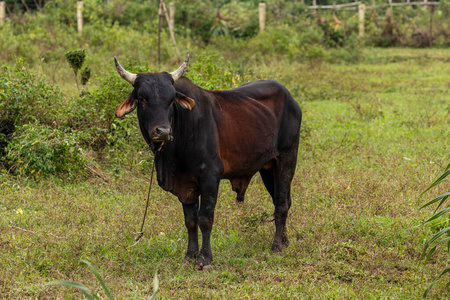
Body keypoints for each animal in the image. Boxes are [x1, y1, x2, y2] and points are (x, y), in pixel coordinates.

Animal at [114, 54, 300, 270]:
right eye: (142, 99)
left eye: (171, 100)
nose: (163, 131)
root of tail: (289, 96)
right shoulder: (185, 185)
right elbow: (190, 221)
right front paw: (189, 256)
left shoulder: (210, 176)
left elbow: (205, 218)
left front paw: (205, 259)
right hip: (267, 168)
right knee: (283, 200)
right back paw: (285, 241)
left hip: (287, 159)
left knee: (281, 204)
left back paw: (277, 245)